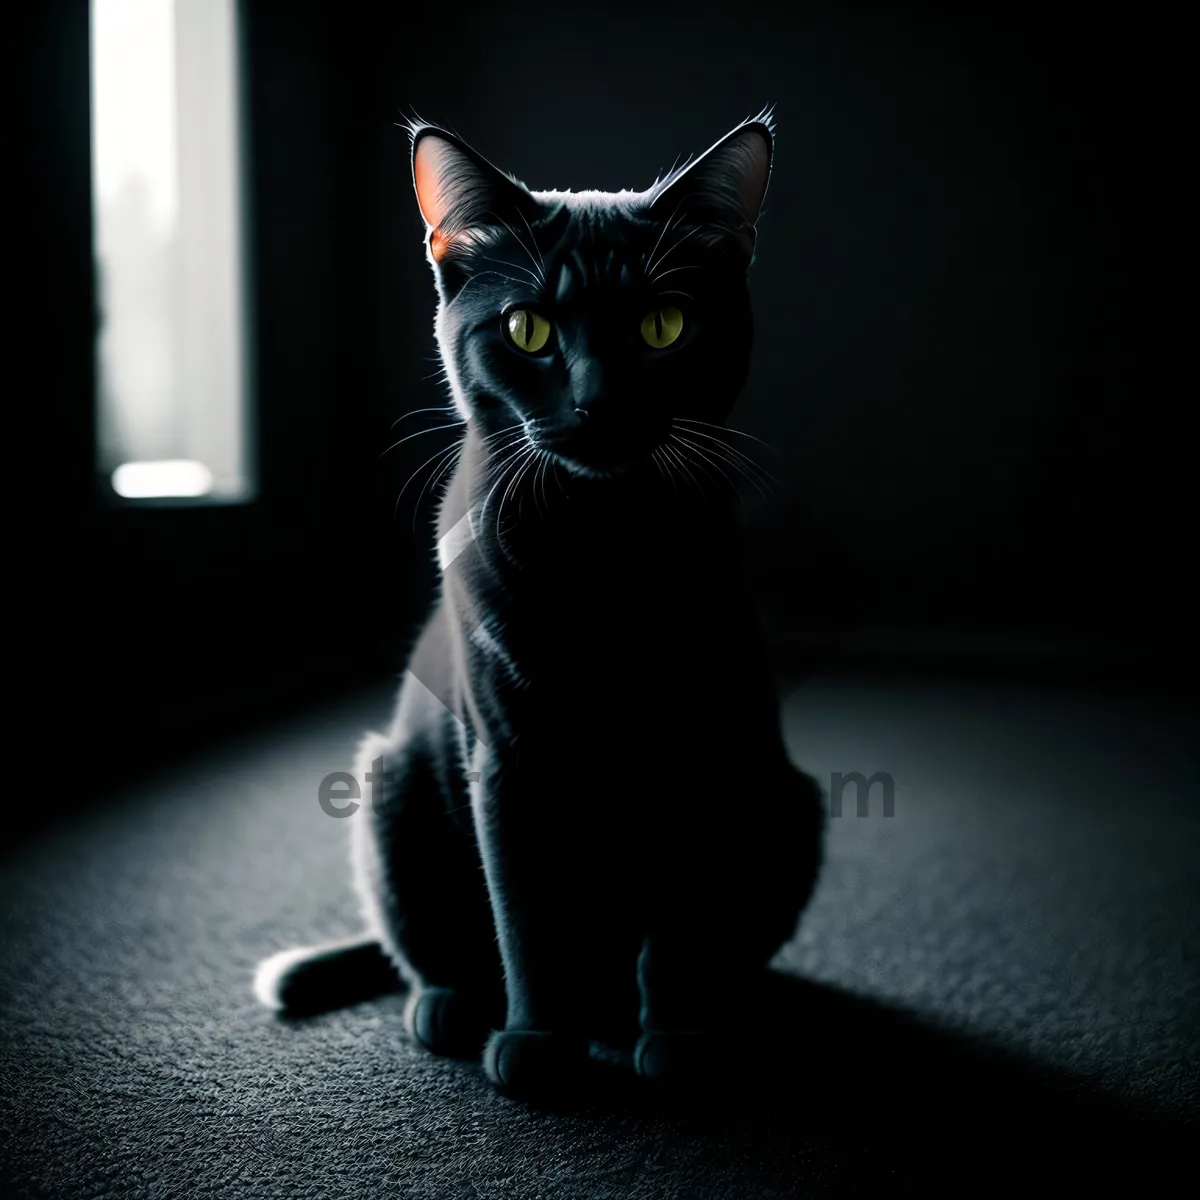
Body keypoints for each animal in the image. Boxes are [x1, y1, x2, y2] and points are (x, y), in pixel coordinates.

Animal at [255, 110, 825, 1099]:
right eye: (528, 330)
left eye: (663, 325)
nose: (598, 402)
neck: (595, 551)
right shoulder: (507, 757)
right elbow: (528, 918)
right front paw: (537, 1048)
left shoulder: (703, 744)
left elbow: (677, 931)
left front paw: (678, 1046)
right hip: (392, 788)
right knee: (434, 945)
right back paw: (448, 1006)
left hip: (789, 804)